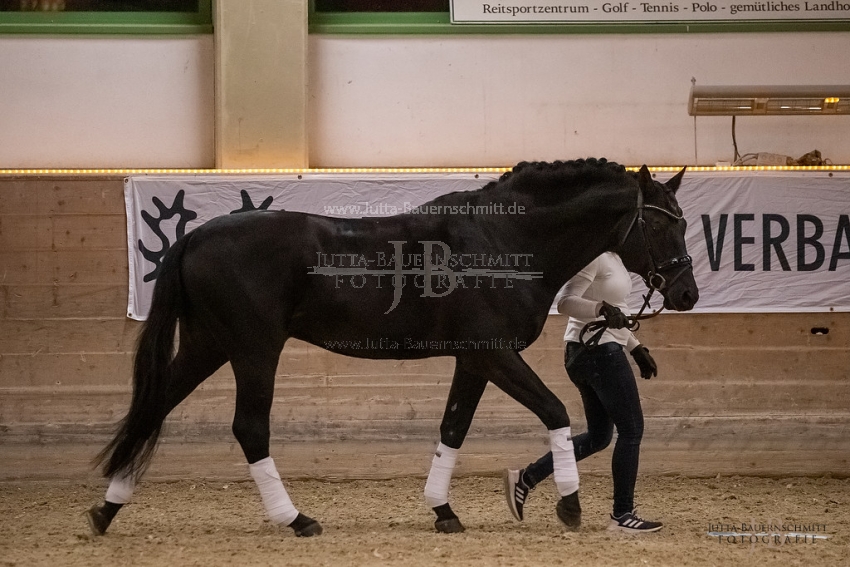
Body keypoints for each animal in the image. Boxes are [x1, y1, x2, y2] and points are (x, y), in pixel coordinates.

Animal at [88, 159, 696, 536]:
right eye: (662, 226)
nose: (687, 293)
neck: (503, 241)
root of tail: (196, 235)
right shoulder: (497, 354)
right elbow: (555, 411)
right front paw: (568, 504)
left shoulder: (474, 359)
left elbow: (453, 429)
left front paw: (443, 510)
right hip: (254, 350)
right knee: (249, 429)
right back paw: (296, 519)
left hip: (208, 344)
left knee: (155, 406)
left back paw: (106, 510)